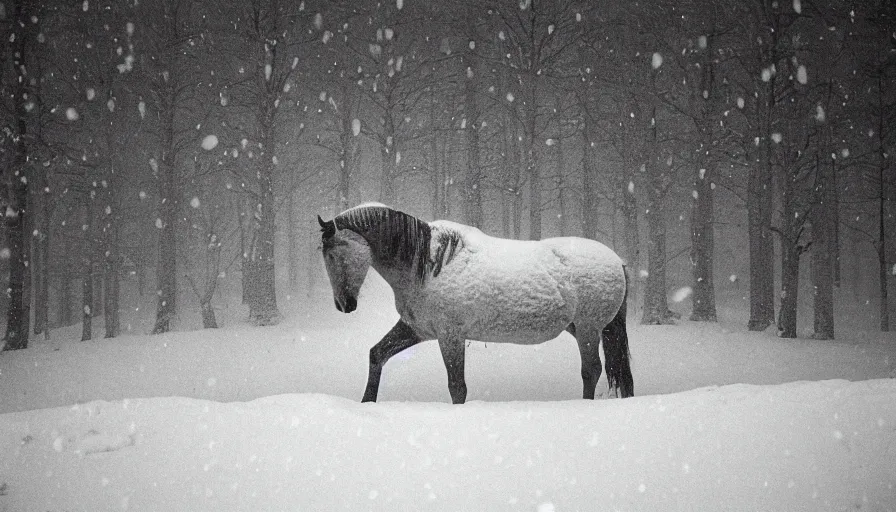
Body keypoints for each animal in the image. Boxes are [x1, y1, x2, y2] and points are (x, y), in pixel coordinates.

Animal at [318, 203, 632, 404]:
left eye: (332, 253)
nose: (343, 304)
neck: (428, 264)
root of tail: (617, 260)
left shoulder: (450, 336)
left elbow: (457, 387)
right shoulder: (417, 330)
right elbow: (377, 355)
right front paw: (366, 404)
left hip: (589, 329)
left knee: (591, 371)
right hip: (583, 329)